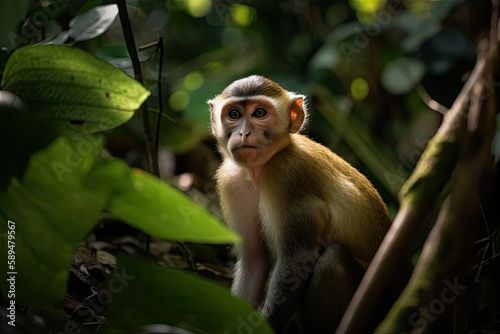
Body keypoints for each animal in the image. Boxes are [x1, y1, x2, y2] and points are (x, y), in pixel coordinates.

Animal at [206, 75, 410, 334]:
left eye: (260, 112)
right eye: (234, 114)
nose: (243, 133)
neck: (262, 168)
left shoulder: (288, 173)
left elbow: (297, 260)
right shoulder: (231, 181)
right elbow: (254, 259)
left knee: (332, 261)